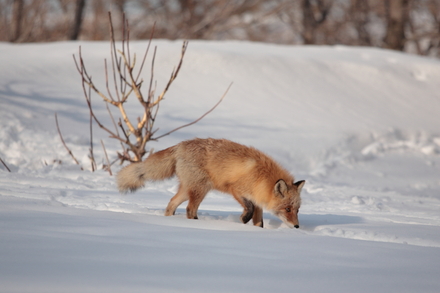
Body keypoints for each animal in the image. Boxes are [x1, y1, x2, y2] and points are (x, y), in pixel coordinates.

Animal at [117, 137, 306, 228]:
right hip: (200, 188)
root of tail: (180, 145)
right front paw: (243, 219)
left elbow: (259, 222)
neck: (262, 178)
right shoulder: (236, 189)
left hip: (189, 189)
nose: (297, 226)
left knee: (171, 204)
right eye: (287, 209)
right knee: (190, 209)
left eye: (297, 210)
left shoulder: (258, 199)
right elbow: (249, 209)